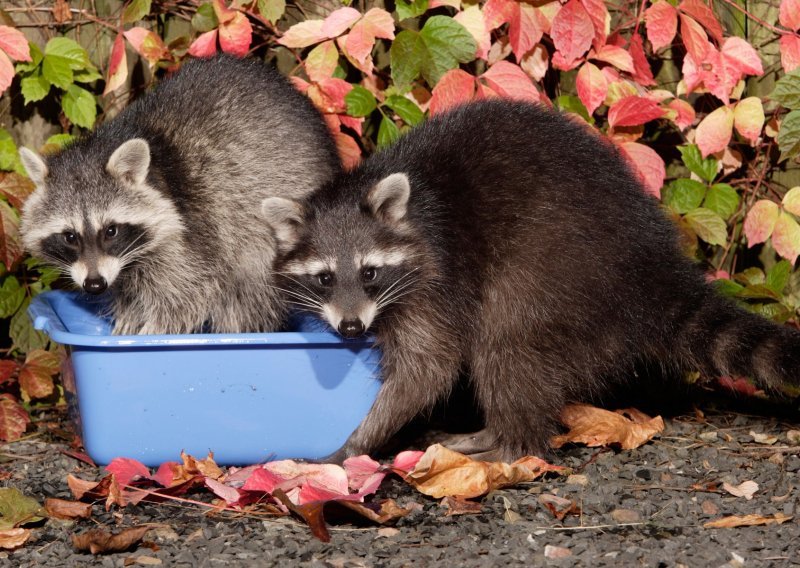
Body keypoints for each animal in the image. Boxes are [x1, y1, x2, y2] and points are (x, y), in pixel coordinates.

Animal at [18, 54, 338, 332]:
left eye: (110, 230)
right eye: (69, 236)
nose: (94, 285)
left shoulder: (192, 236)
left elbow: (188, 294)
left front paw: (150, 333)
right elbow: (129, 294)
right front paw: (126, 321)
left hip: (265, 235)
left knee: (248, 295)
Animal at [266, 97, 800, 462]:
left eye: (370, 272)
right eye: (324, 278)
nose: (352, 328)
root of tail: (652, 265)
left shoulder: (439, 279)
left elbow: (429, 368)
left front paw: (358, 440)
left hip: (556, 271)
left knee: (506, 345)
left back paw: (510, 444)